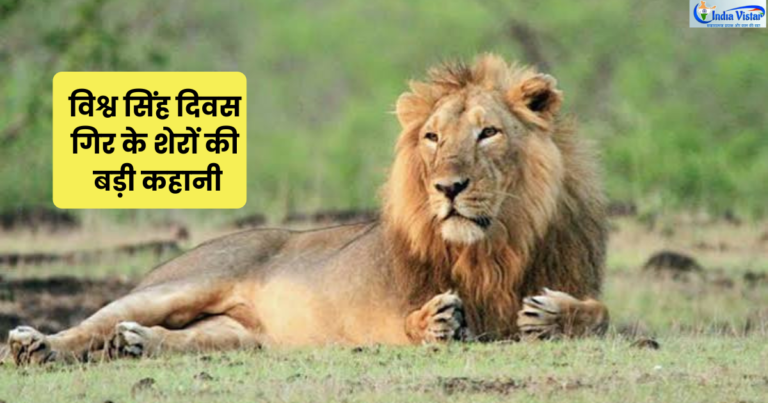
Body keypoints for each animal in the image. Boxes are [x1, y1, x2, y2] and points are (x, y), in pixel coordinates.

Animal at [8, 54, 609, 365]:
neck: (495, 247)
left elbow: (601, 315)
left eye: (488, 133)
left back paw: (136, 343)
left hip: (242, 336)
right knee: (89, 325)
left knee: (181, 338)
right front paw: (435, 321)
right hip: (178, 285)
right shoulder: (379, 316)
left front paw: (553, 315)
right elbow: (407, 322)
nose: (448, 188)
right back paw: (34, 346)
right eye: (433, 137)